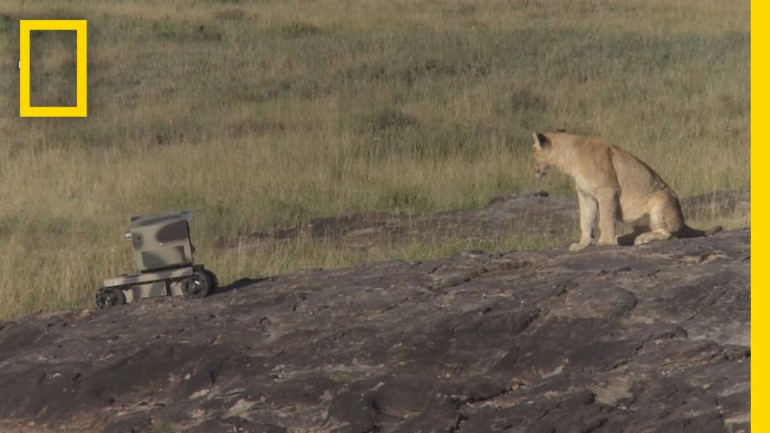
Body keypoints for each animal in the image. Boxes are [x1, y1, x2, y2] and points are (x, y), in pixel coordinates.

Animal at [530, 131, 722, 251]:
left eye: (533, 154)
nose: (532, 169)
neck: (570, 158)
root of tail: (681, 217)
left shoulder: (607, 190)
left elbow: (605, 219)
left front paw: (604, 242)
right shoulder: (585, 195)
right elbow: (585, 219)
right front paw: (582, 244)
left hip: (660, 199)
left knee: (669, 233)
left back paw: (642, 238)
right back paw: (623, 237)